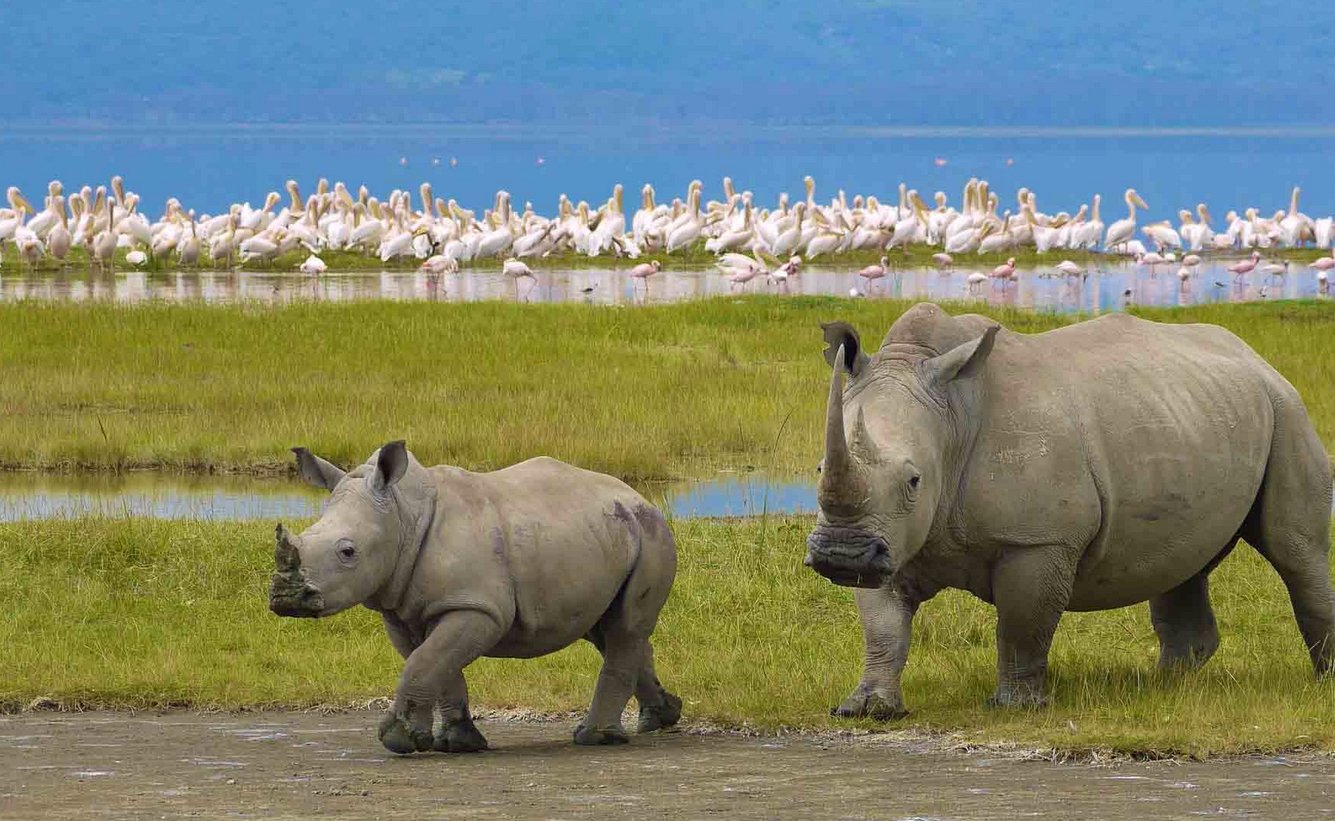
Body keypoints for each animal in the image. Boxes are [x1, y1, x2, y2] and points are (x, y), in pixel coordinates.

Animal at [269, 441, 681, 753]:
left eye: (348, 552)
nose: (285, 599)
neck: (402, 516)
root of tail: (638, 496)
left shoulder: (478, 607)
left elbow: (424, 663)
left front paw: (398, 741)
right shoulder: (404, 611)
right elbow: (435, 664)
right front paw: (456, 743)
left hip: (651, 534)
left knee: (625, 627)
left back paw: (594, 738)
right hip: (606, 533)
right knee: (607, 630)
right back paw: (660, 717)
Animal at [806, 303, 1334, 717]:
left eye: (914, 481)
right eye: (818, 468)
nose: (840, 555)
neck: (952, 414)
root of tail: (1255, 356)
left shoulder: (1037, 540)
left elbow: (1022, 626)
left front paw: (1015, 707)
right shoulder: (890, 537)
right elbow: (882, 625)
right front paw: (866, 709)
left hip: (1287, 410)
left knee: (1296, 552)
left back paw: (1319, 683)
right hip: (1195, 415)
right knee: (1186, 560)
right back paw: (1165, 688)